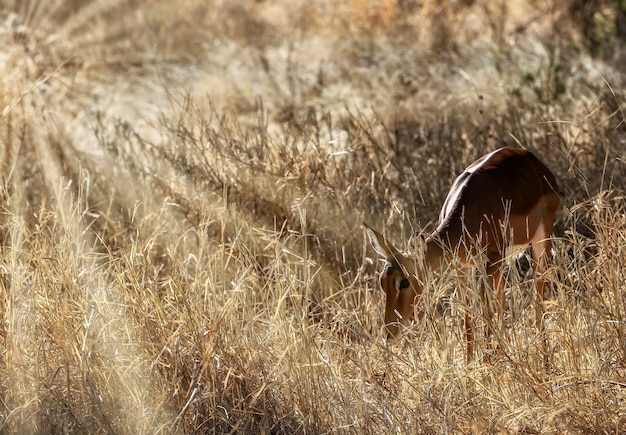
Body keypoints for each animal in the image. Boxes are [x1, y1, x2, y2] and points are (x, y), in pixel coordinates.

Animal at [364, 147, 560, 362]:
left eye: (404, 282)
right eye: (382, 282)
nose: (388, 334)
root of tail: (532, 158)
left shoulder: (492, 259)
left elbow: (487, 310)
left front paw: (487, 363)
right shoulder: (462, 266)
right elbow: (468, 317)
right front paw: (470, 363)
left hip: (540, 243)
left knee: (537, 297)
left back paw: (544, 359)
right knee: (503, 302)